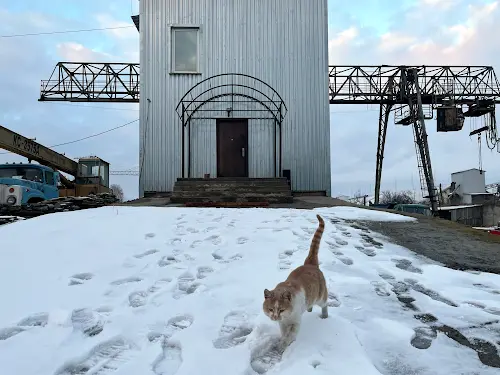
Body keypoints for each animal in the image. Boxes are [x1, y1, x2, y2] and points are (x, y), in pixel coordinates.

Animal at [262, 214, 328, 350]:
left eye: (281, 310)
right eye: (270, 309)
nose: (275, 317)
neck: (287, 316)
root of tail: (310, 264)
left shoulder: (296, 321)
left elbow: (291, 335)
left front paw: (284, 344)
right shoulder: (282, 323)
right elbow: (284, 333)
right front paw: (282, 340)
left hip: (320, 297)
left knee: (325, 304)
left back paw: (325, 316)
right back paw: (309, 309)